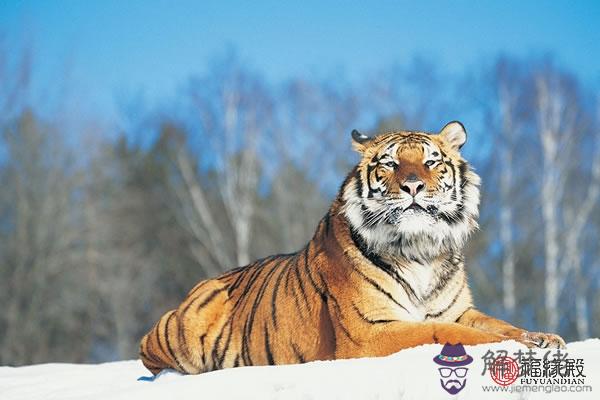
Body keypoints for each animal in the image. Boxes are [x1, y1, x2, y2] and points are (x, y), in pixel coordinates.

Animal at [138, 121, 564, 376]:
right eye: (390, 164)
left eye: (431, 162)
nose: (413, 186)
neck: (420, 250)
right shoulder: (371, 331)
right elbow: (443, 332)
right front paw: (512, 346)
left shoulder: (459, 310)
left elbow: (496, 323)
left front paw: (542, 338)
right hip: (184, 325)